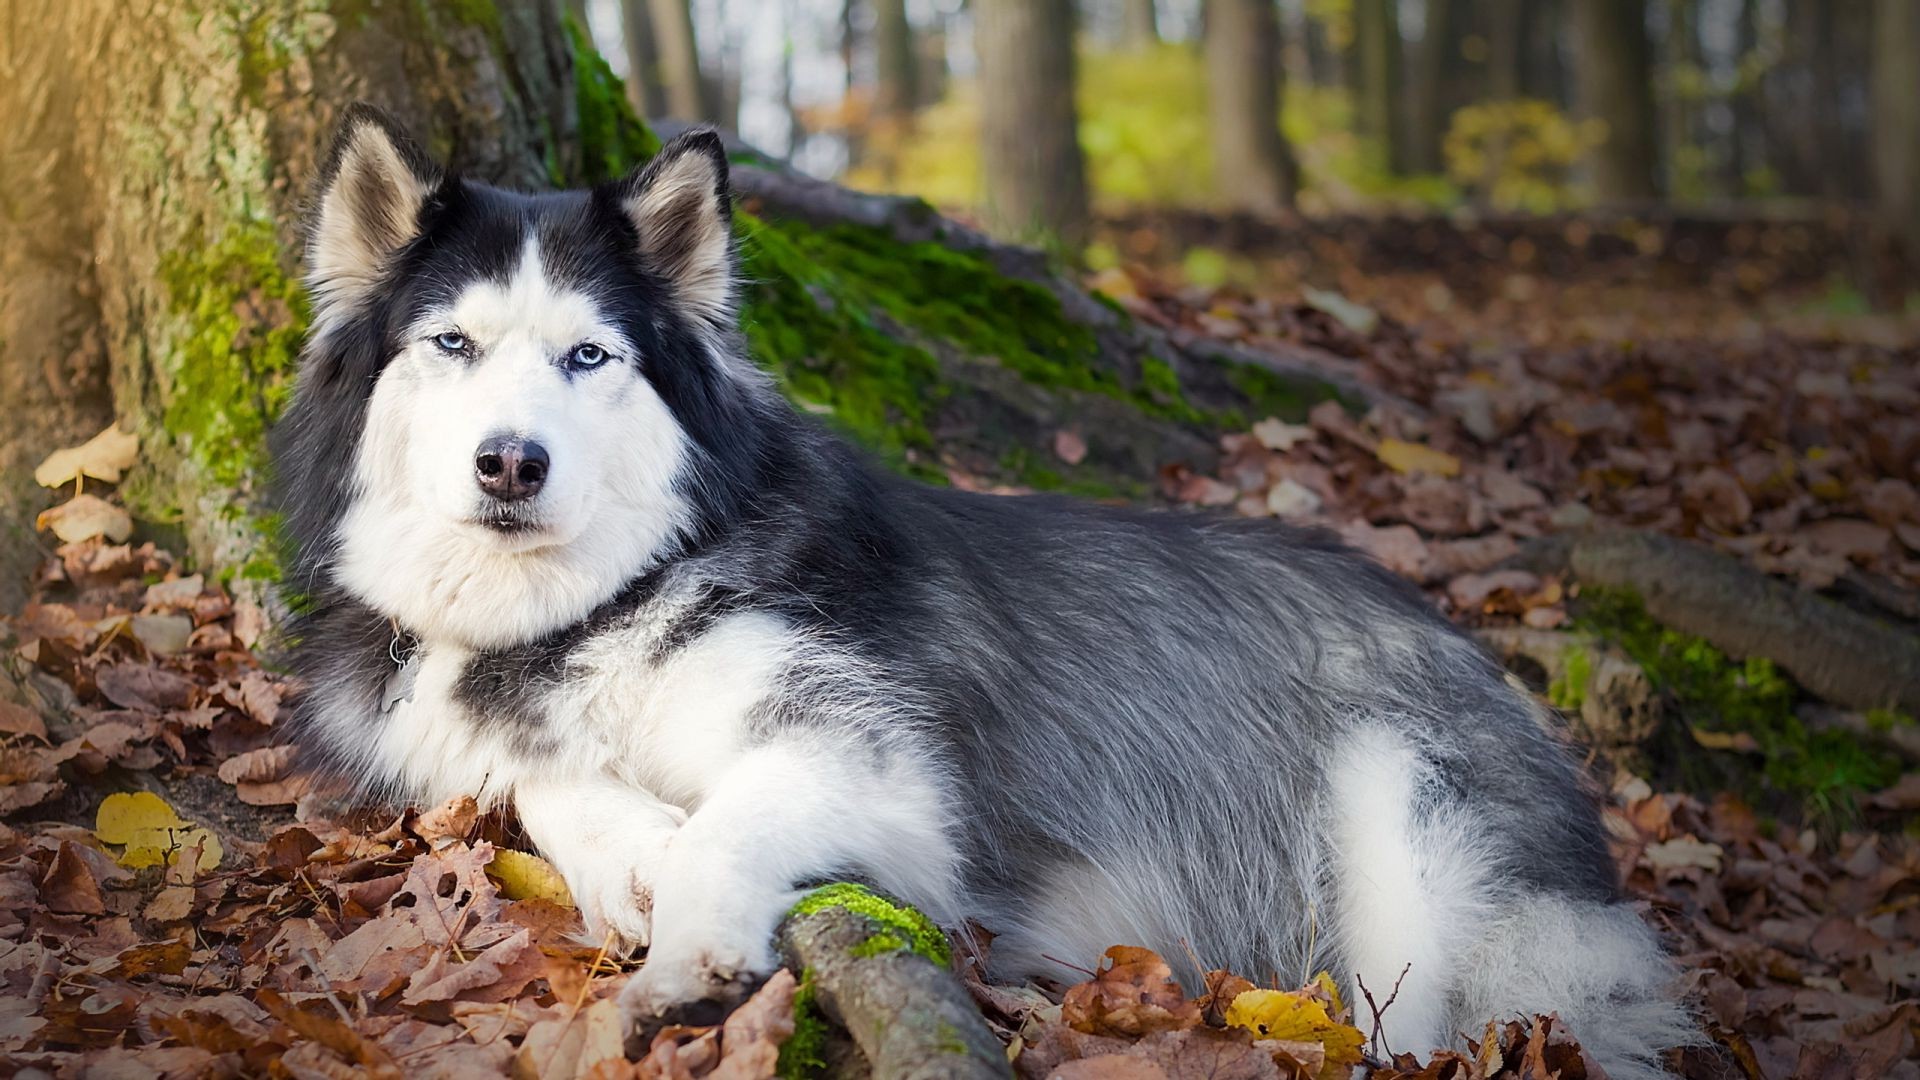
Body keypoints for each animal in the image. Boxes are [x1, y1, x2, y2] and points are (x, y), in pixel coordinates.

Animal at [274, 107, 1697, 1068]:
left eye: (588, 357)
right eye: (452, 343)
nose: (511, 462)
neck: (594, 605)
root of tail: (1469, 642)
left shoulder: (881, 767)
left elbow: (732, 818)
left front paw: (685, 946)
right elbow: (538, 780)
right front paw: (631, 849)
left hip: (1416, 850)